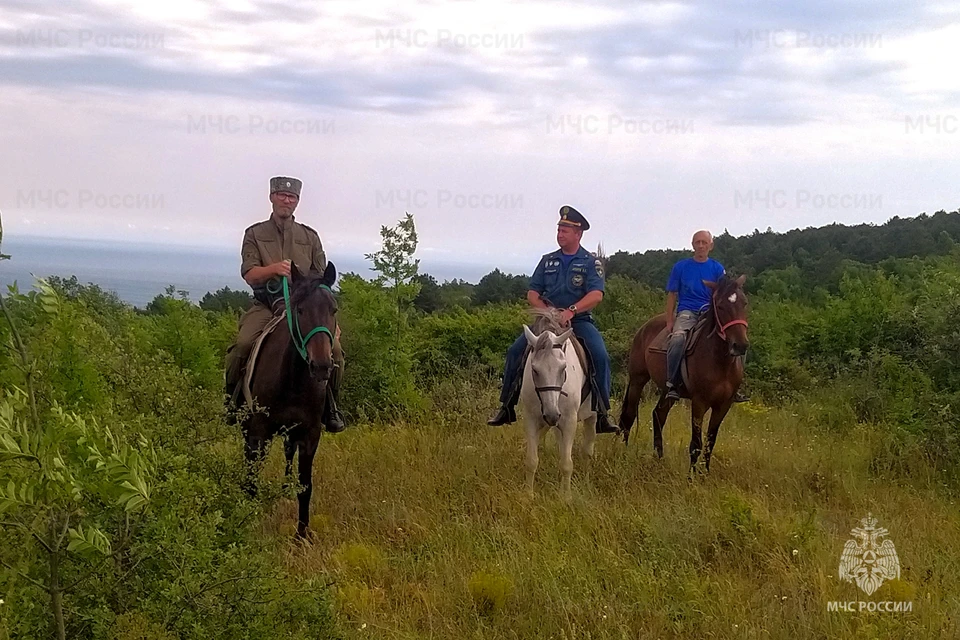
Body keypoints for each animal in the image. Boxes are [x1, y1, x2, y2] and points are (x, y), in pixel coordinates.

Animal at [242, 260, 340, 536]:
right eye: (300, 310)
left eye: (333, 309)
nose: (321, 366)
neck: (293, 380)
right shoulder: (259, 432)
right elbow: (253, 477)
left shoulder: (309, 434)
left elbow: (305, 486)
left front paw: (302, 535)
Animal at [520, 312, 596, 498]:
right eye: (534, 370)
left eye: (563, 368)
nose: (552, 415)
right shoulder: (531, 419)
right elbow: (531, 460)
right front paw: (528, 495)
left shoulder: (569, 421)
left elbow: (567, 464)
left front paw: (566, 497)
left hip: (591, 417)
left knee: (587, 451)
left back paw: (586, 482)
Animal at [616, 276, 752, 476]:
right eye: (720, 306)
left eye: (744, 303)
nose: (740, 345)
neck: (720, 362)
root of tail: (645, 327)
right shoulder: (699, 402)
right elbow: (696, 443)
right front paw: (692, 477)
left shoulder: (724, 405)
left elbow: (711, 441)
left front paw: (705, 474)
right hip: (637, 380)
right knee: (629, 415)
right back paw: (623, 452)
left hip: (668, 391)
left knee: (659, 415)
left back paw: (659, 458)